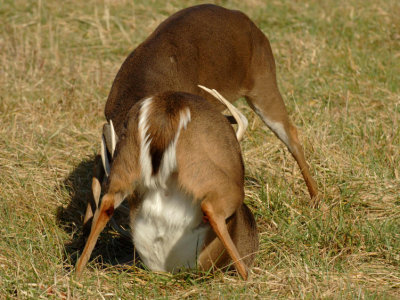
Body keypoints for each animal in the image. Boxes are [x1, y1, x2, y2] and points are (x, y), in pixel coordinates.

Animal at [77, 88, 260, 278]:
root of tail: (168, 105)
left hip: (125, 158)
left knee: (106, 203)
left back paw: (77, 273)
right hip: (202, 168)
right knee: (211, 208)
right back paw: (247, 276)